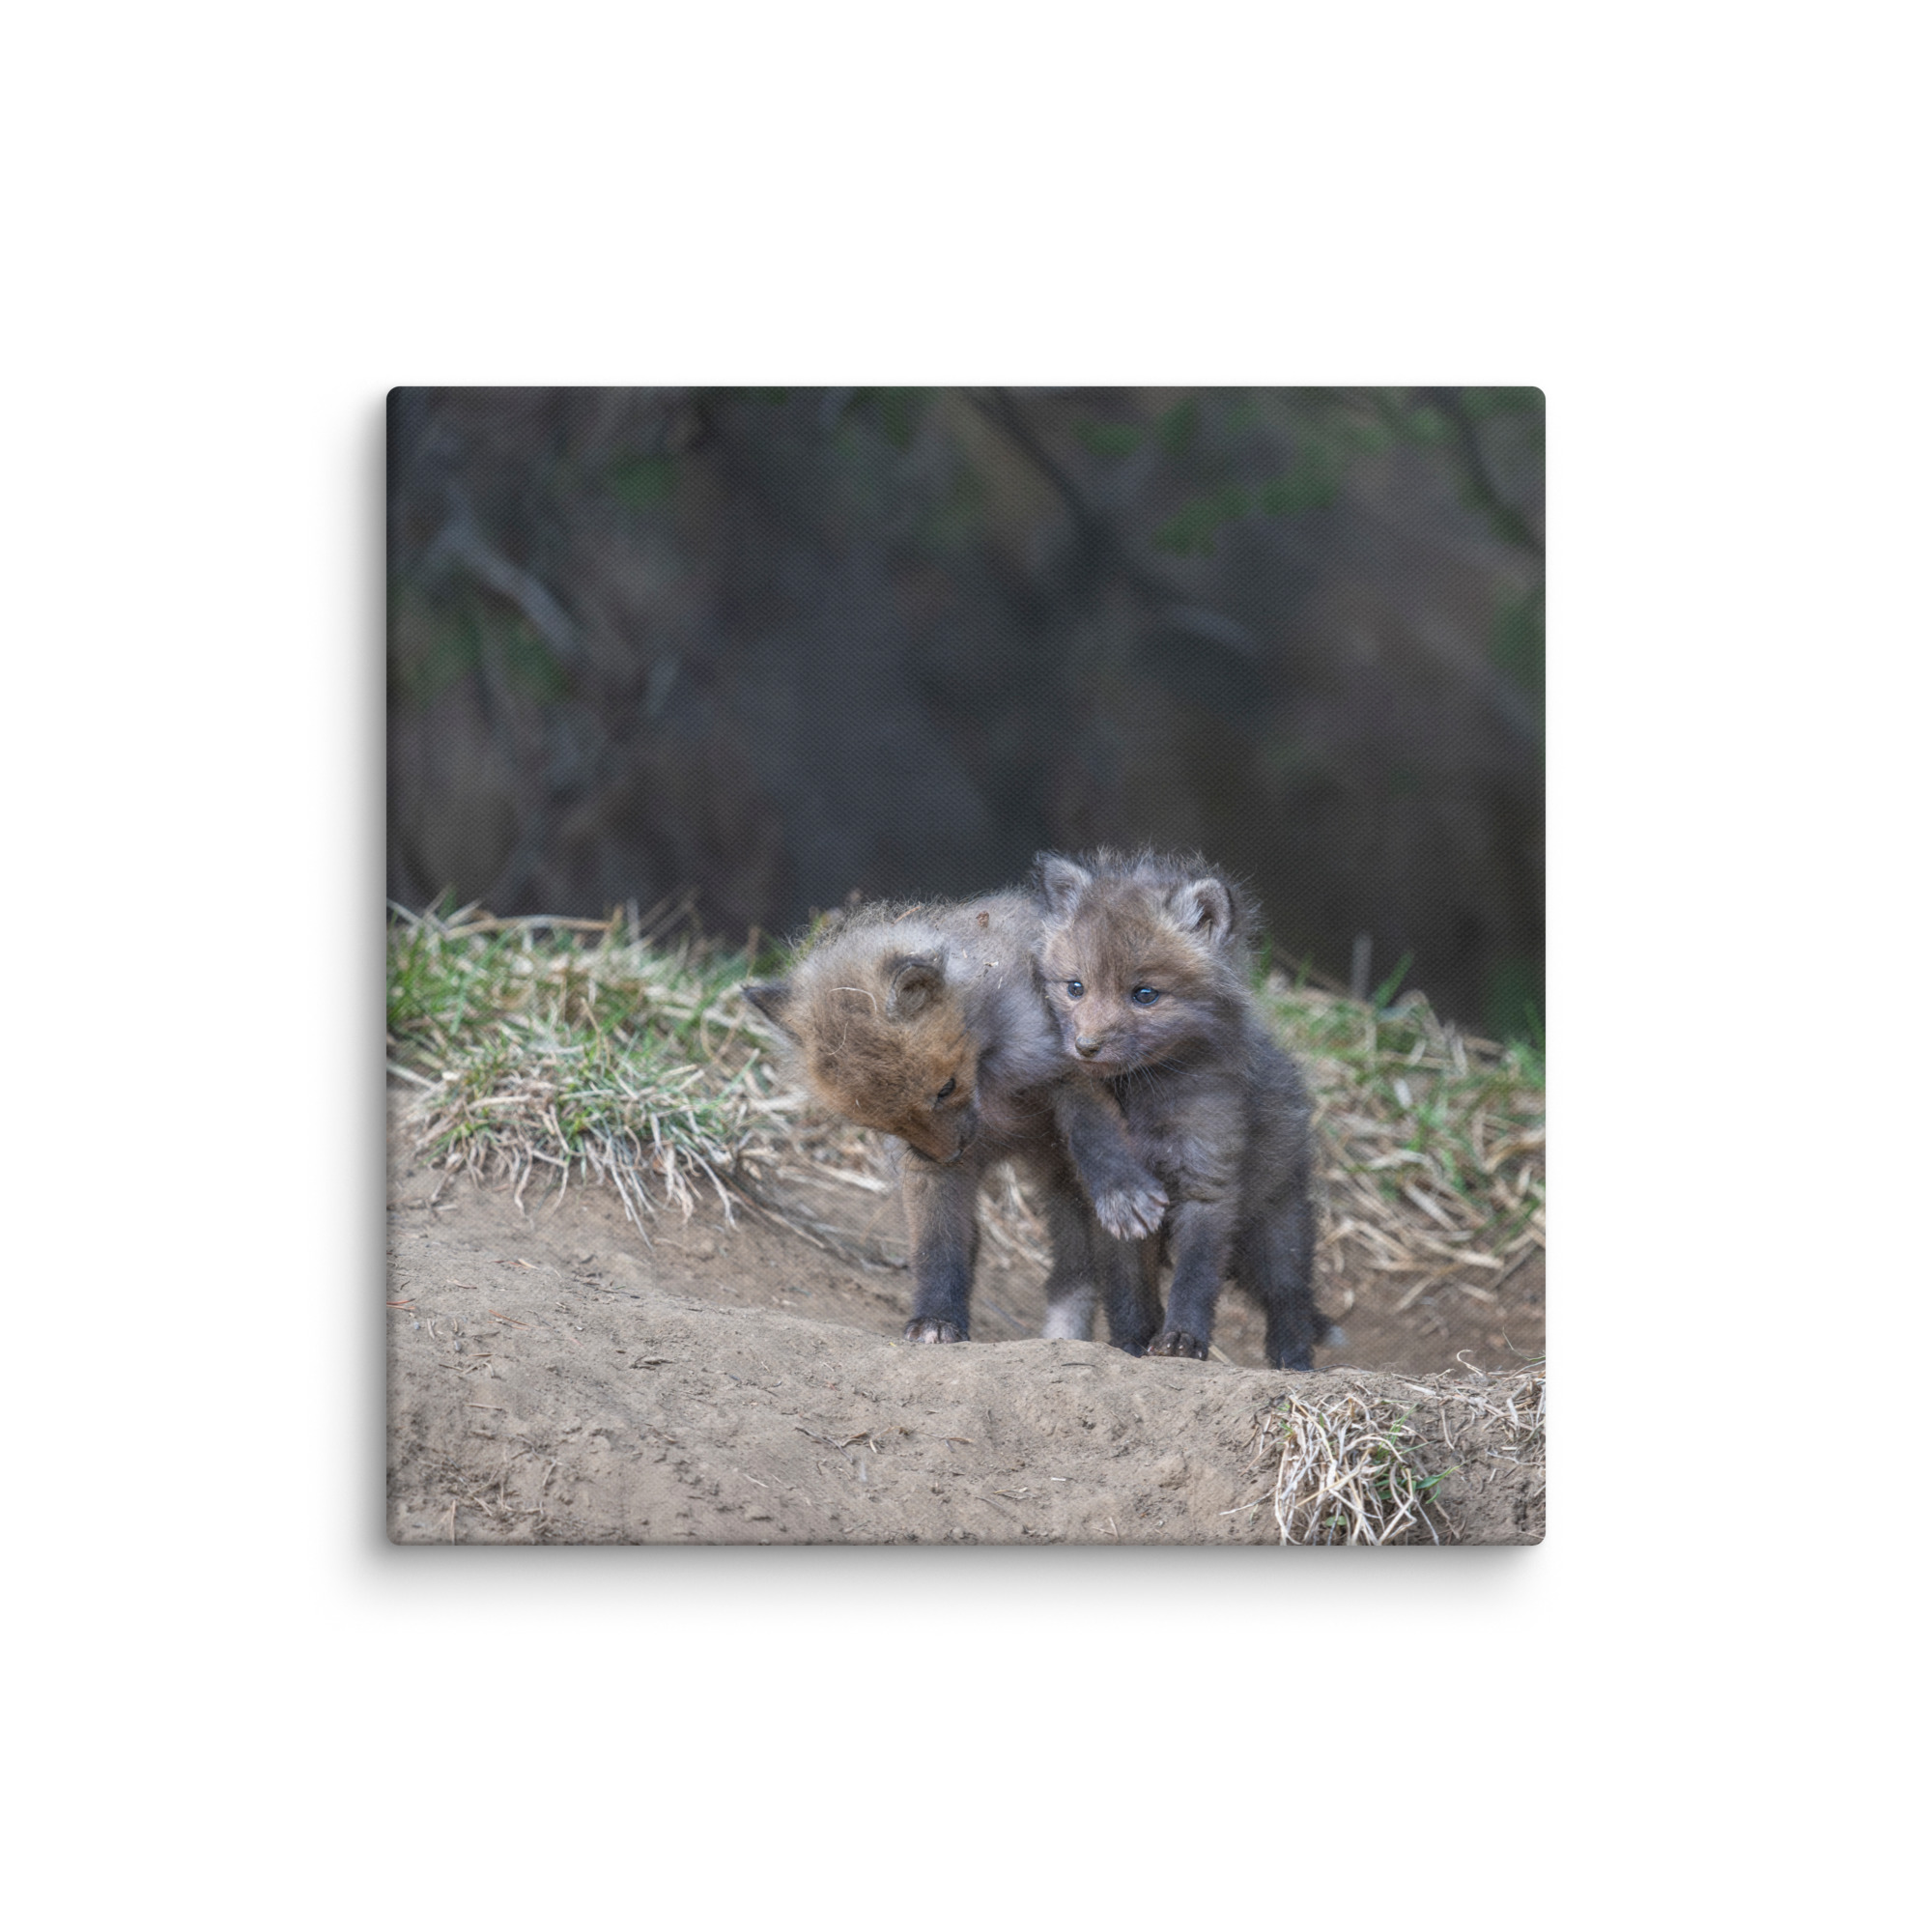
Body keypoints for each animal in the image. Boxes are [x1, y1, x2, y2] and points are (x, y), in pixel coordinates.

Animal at [742, 892, 1168, 1350]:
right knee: (1071, 1273)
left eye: (946, 1088)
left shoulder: (1070, 1070)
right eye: (882, 1122)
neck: (991, 1083)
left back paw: (1135, 1341)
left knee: (1123, 1275)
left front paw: (1122, 1191)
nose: (951, 1154)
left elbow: (1097, 1137)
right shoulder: (923, 1166)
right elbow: (938, 1246)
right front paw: (936, 1319)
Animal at [1032, 849, 1322, 1371]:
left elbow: (1195, 1277)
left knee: (1291, 1297)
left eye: (1144, 994)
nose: (1085, 1047)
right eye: (1075, 987)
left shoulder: (1208, 1181)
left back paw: (1294, 1363)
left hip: (1277, 1229)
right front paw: (1131, 1343)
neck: (1144, 1098)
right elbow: (1127, 1288)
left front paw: (1182, 1340)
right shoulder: (1117, 1209)